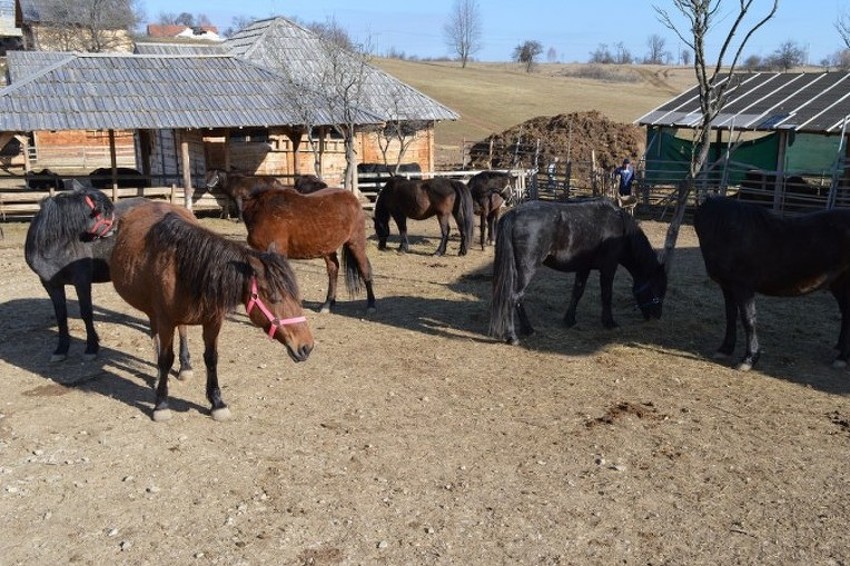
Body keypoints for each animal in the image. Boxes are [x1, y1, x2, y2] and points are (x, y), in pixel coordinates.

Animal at [24, 189, 193, 374]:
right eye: (104, 211)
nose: (119, 227)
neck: (53, 246)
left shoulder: (81, 281)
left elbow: (86, 313)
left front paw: (91, 348)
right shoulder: (50, 284)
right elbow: (61, 315)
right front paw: (61, 349)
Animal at [107, 202, 314, 424]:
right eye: (274, 297)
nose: (306, 346)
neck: (182, 266)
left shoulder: (213, 322)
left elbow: (211, 358)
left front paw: (217, 402)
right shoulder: (165, 321)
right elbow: (165, 358)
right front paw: (161, 404)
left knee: (182, 330)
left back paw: (185, 366)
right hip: (153, 311)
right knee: (157, 337)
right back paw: (158, 376)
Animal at [245, 189, 378, 318]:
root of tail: (353, 198)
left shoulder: (276, 253)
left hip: (356, 243)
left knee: (364, 269)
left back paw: (371, 305)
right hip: (327, 248)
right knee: (333, 269)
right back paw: (328, 304)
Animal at [486, 200, 664, 346]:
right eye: (657, 290)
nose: (657, 317)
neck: (620, 228)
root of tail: (513, 214)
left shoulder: (583, 267)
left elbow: (577, 292)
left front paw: (569, 320)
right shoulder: (609, 267)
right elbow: (606, 295)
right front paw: (609, 323)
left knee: (518, 298)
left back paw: (528, 330)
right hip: (527, 268)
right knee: (514, 297)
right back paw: (513, 337)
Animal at [692, 195, 848, 372]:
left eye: (729, 229)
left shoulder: (743, 287)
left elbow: (748, 319)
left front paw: (749, 359)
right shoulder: (727, 287)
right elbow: (731, 316)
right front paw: (725, 349)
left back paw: (843, 357)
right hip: (838, 283)